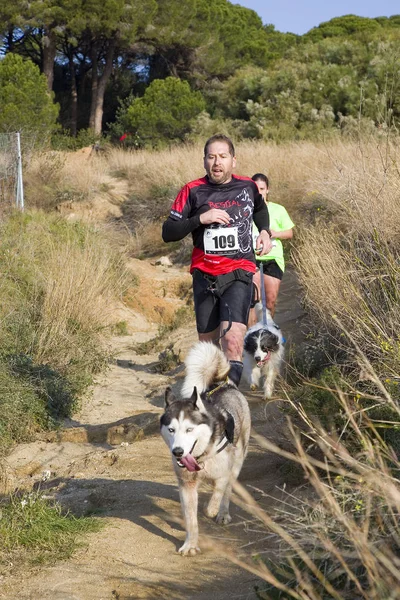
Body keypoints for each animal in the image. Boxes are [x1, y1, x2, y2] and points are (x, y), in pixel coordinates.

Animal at [159, 342, 250, 556]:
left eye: (189, 429)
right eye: (171, 429)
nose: (178, 452)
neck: (200, 457)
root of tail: (225, 385)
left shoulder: (222, 474)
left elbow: (217, 495)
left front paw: (212, 510)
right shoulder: (186, 485)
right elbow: (191, 520)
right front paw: (190, 545)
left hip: (238, 460)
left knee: (228, 491)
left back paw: (223, 513)